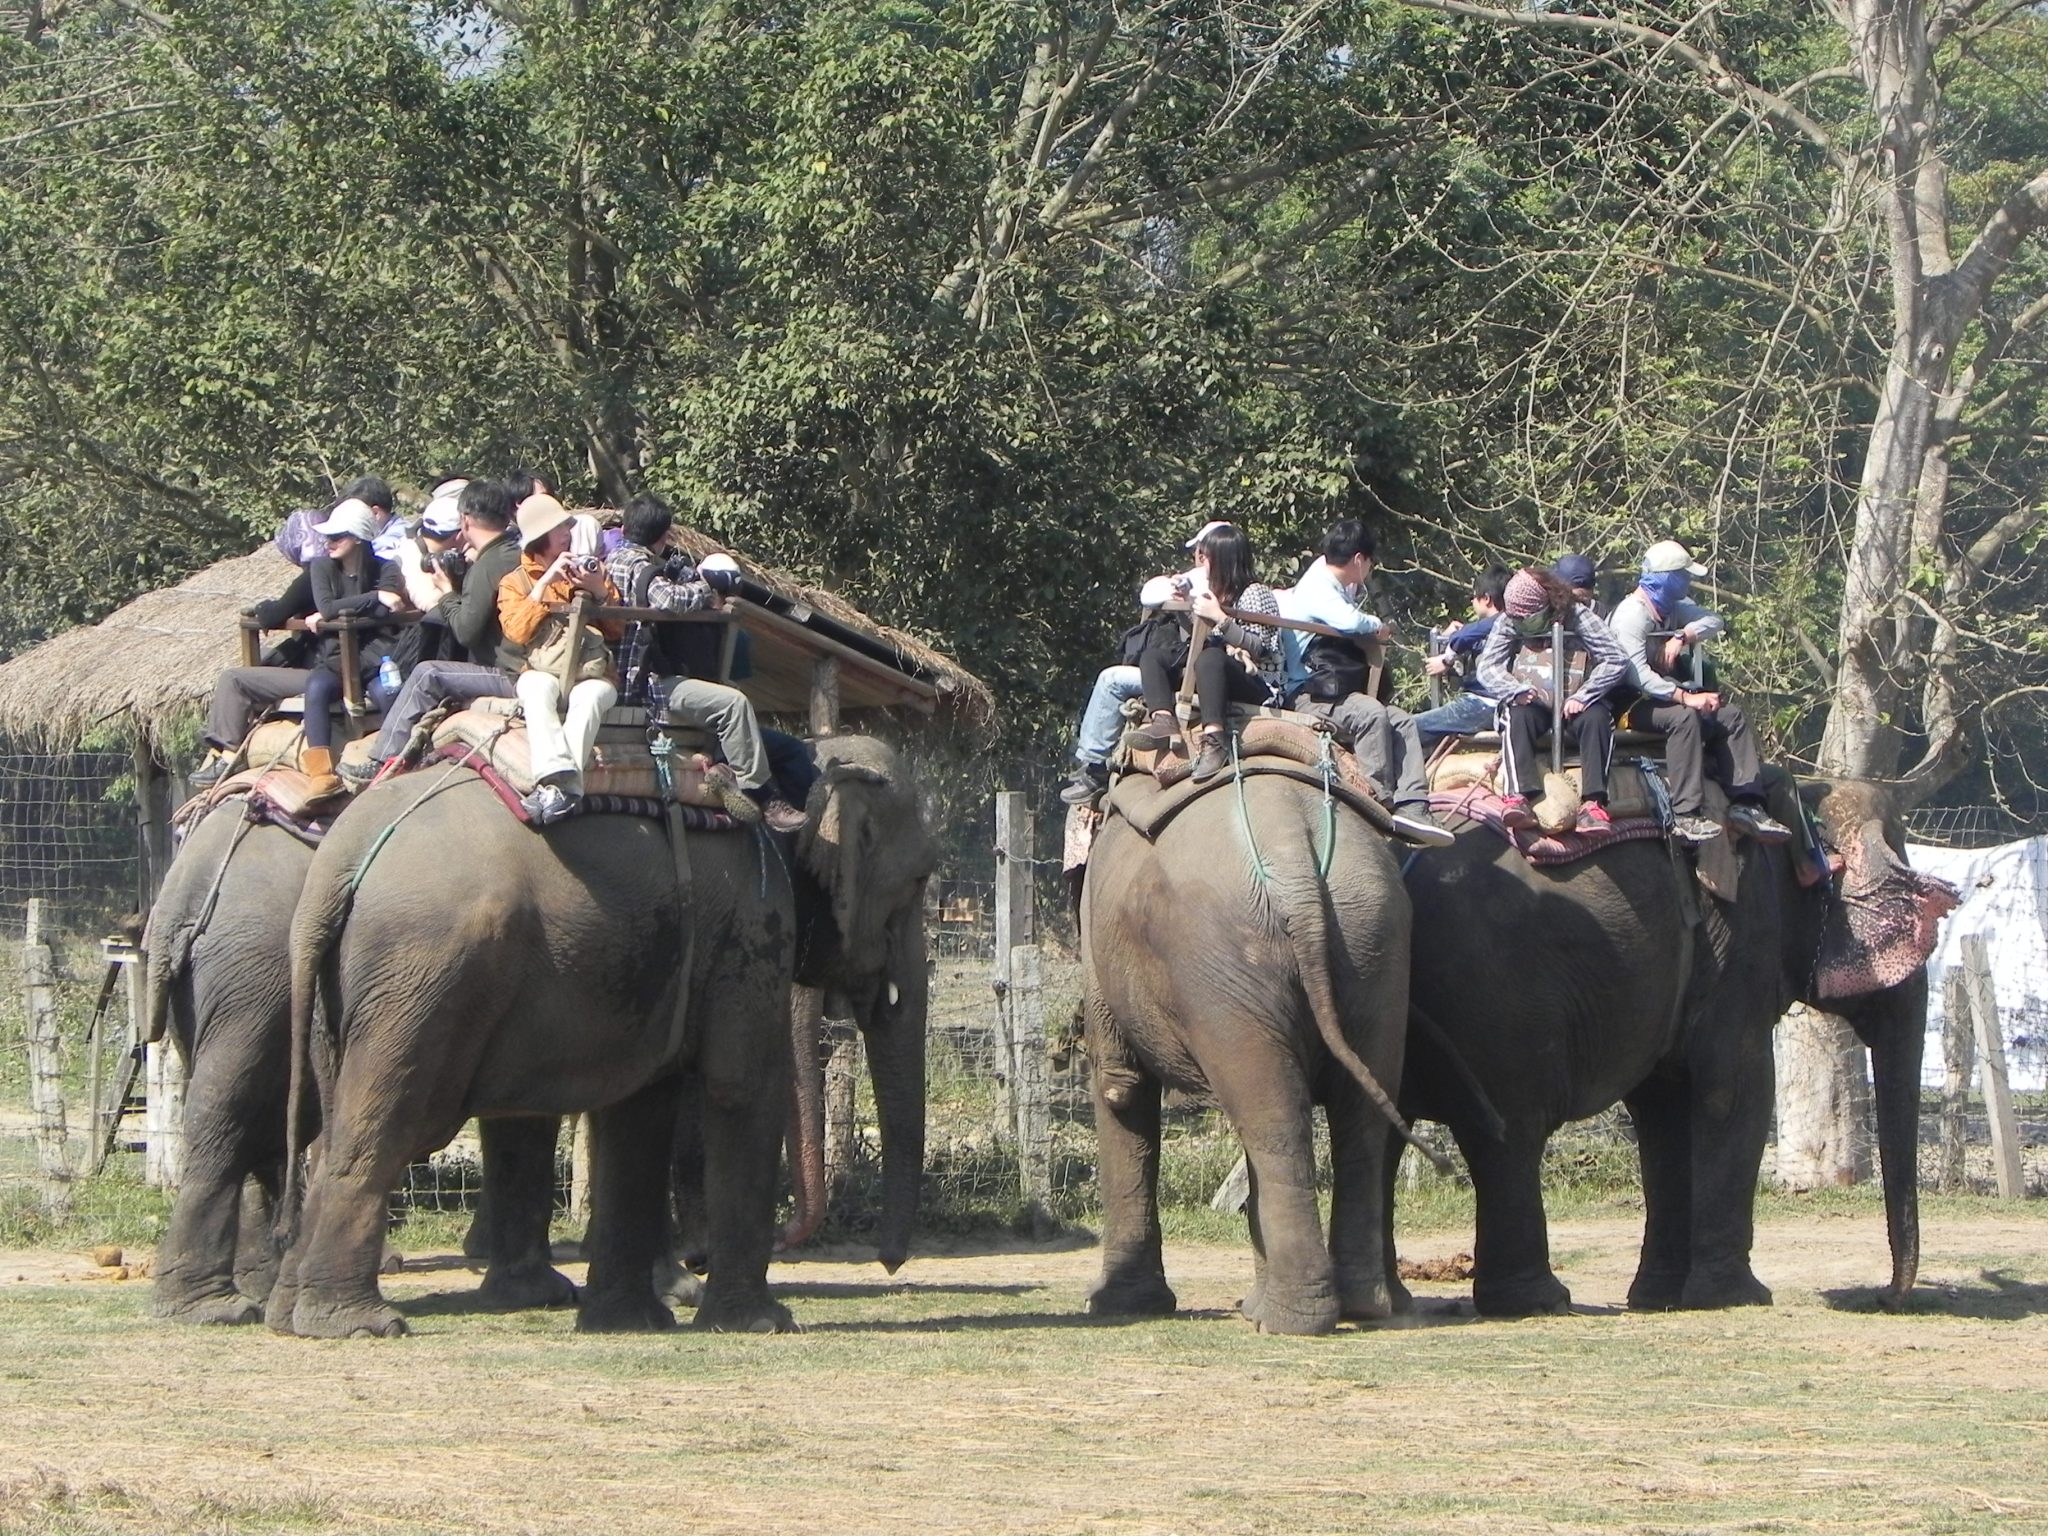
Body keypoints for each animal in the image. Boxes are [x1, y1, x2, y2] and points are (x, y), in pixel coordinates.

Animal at [143, 799, 574, 1325]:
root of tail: (181, 889)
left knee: (241, 1121)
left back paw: (249, 1294)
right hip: (254, 983)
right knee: (237, 1114)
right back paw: (227, 1304)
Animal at [269, 734, 926, 1339]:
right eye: (917, 887)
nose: (892, 1264)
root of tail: (339, 860)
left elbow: (638, 1109)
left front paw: (627, 1322)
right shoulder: (753, 918)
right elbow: (739, 1087)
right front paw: (761, 1323)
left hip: (345, 992)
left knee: (336, 1123)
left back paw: (289, 1315)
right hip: (422, 977)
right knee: (382, 1125)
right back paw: (357, 1325)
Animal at [1079, 773, 1427, 1335]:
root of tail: (1293, 849)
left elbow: (1119, 1088)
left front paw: (1114, 1305)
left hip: (1222, 959)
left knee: (1274, 1119)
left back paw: (1290, 1320)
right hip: (1375, 943)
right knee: (1353, 1122)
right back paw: (1352, 1307)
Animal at [1395, 778, 1956, 1318]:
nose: (1886, 1298)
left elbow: (1664, 1109)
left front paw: (1660, 1297)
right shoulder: (1742, 944)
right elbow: (1737, 1091)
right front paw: (1738, 1297)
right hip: (1500, 996)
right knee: (1508, 1133)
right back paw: (1540, 1302)